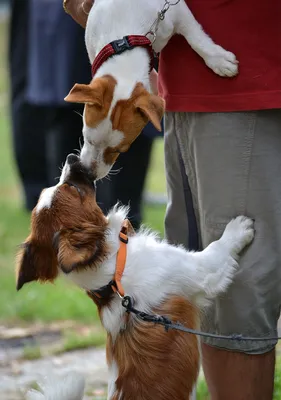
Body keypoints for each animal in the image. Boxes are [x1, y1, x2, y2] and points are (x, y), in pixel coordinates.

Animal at [16, 154, 253, 400]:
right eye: (73, 187)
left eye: (53, 188)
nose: (72, 157)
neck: (113, 275)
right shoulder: (202, 269)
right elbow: (218, 248)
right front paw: (238, 229)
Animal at [64, 0, 237, 180]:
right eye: (87, 138)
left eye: (120, 150)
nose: (88, 174)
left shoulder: (177, 10)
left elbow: (195, 36)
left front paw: (218, 60)